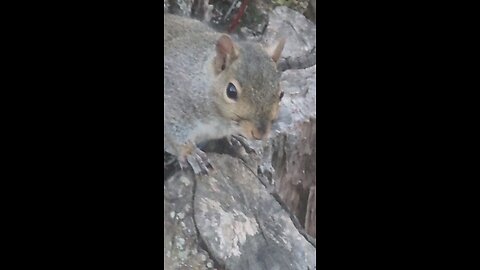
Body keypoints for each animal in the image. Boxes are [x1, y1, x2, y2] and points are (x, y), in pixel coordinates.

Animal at [165, 14, 284, 175]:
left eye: (281, 94)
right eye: (231, 91)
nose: (260, 134)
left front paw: (235, 137)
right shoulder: (172, 100)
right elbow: (174, 133)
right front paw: (191, 153)